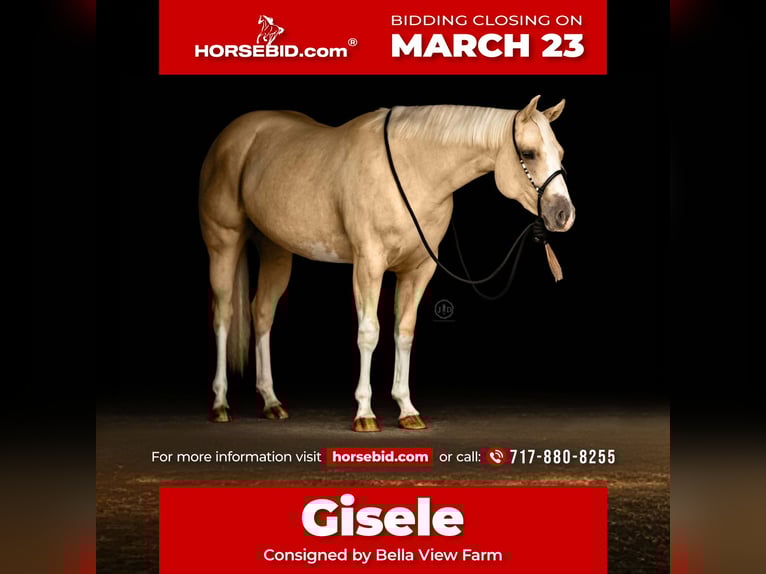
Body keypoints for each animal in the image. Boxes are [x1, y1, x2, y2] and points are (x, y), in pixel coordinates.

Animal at [198, 95, 574, 431]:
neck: (414, 170)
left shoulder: (419, 270)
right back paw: (220, 404)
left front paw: (407, 410)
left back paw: (271, 402)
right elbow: (369, 333)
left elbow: (403, 332)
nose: (563, 214)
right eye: (528, 153)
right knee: (223, 314)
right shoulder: (369, 265)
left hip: (276, 250)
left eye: (560, 153)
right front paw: (365, 414)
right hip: (224, 243)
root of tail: (233, 136)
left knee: (262, 313)